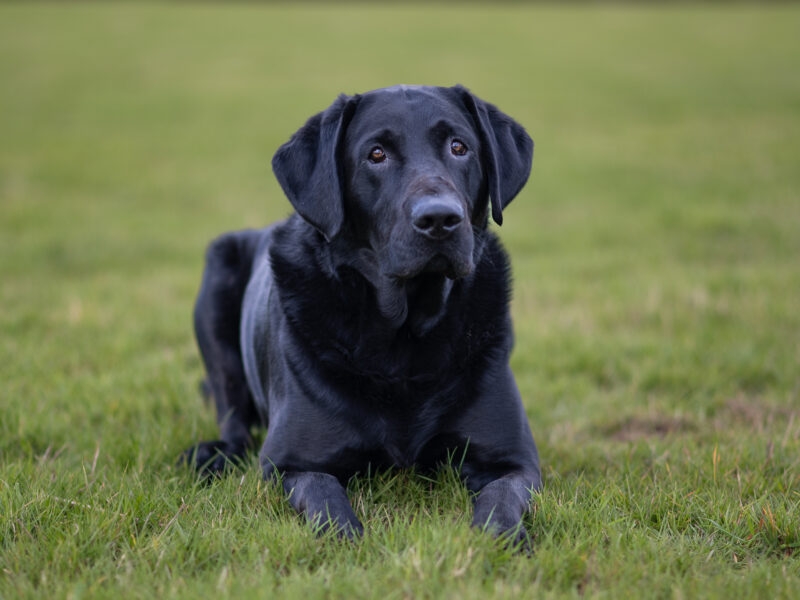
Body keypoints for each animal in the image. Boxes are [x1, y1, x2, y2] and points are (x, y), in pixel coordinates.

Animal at [184, 85, 540, 548]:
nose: (440, 218)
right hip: (217, 277)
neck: (404, 338)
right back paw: (212, 455)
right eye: (376, 154)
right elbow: (325, 496)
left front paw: (500, 539)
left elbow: (501, 498)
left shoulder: (515, 461)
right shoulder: (289, 463)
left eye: (459, 147)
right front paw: (346, 538)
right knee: (232, 416)